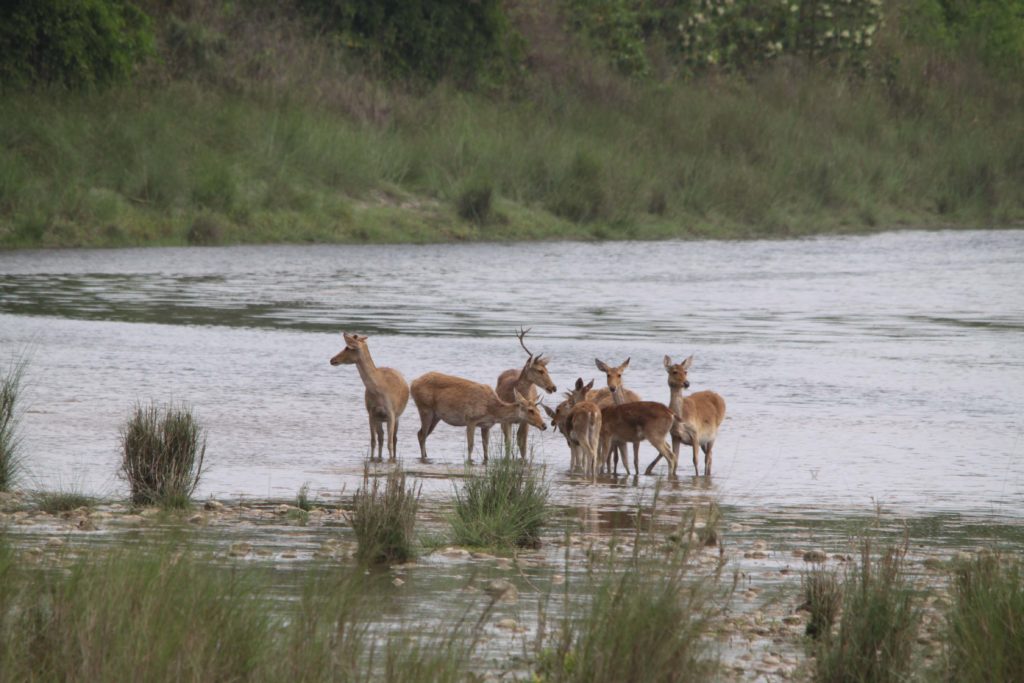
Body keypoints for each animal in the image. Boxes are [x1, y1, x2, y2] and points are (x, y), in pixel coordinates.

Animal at [327, 333, 407, 462]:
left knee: (394, 439)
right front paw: (372, 459)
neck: (379, 390)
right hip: (379, 419)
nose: (332, 360)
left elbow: (389, 443)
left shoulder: (391, 413)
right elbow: (373, 441)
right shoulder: (371, 413)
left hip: (398, 416)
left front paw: (390, 461)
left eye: (348, 347)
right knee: (381, 437)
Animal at [411, 374, 548, 464]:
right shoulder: (470, 419)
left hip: (436, 416)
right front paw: (469, 461)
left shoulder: (486, 425)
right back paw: (424, 458)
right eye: (531, 410)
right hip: (425, 408)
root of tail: (413, 383)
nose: (544, 425)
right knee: (422, 435)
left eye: (539, 410)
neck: (491, 410)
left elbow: (485, 447)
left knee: (421, 434)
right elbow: (470, 445)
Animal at [493, 327, 557, 456]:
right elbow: (508, 443)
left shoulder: (526, 421)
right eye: (540, 370)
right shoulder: (505, 420)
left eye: (547, 369)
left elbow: (522, 442)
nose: (553, 387)